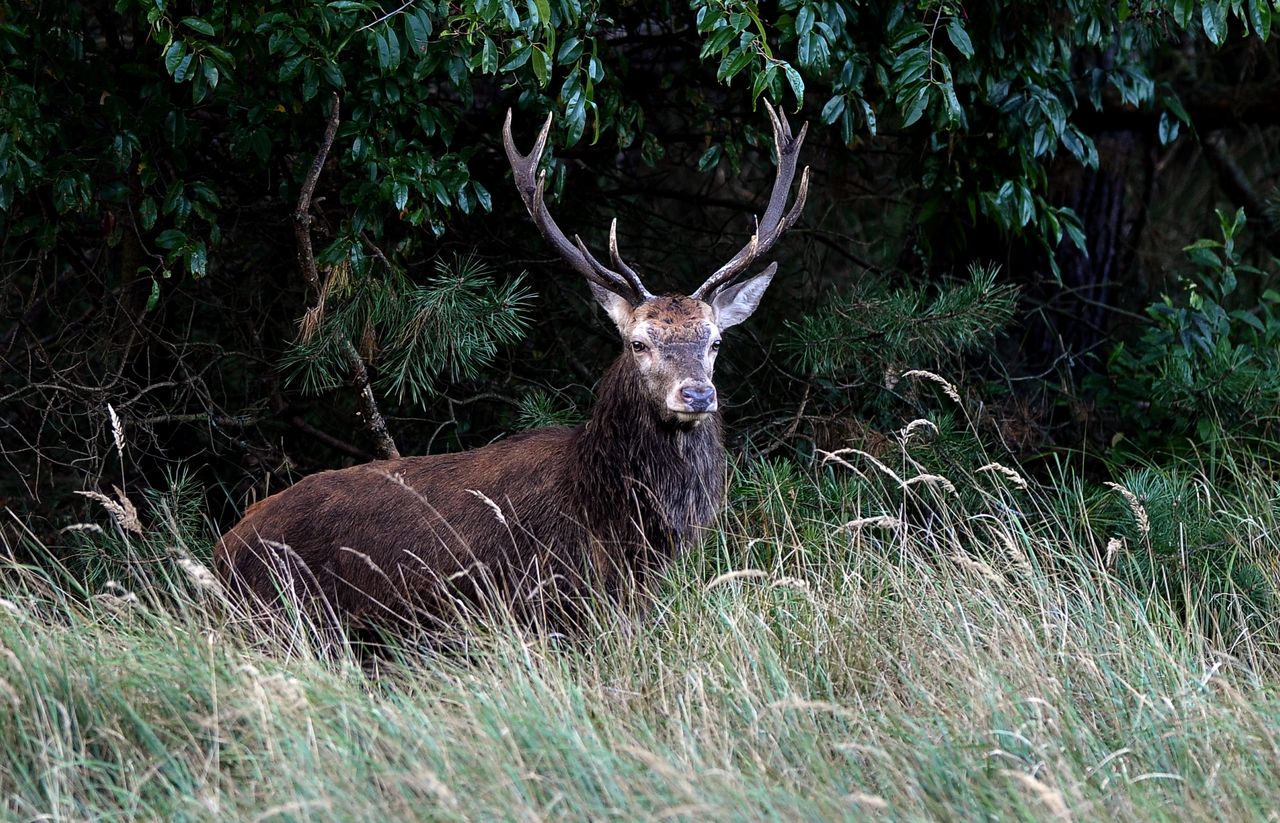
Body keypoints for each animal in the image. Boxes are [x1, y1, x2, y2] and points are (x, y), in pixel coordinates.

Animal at [213, 101, 803, 637]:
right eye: (638, 343)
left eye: (716, 342)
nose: (697, 395)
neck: (612, 516)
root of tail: (224, 549)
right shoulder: (549, 602)